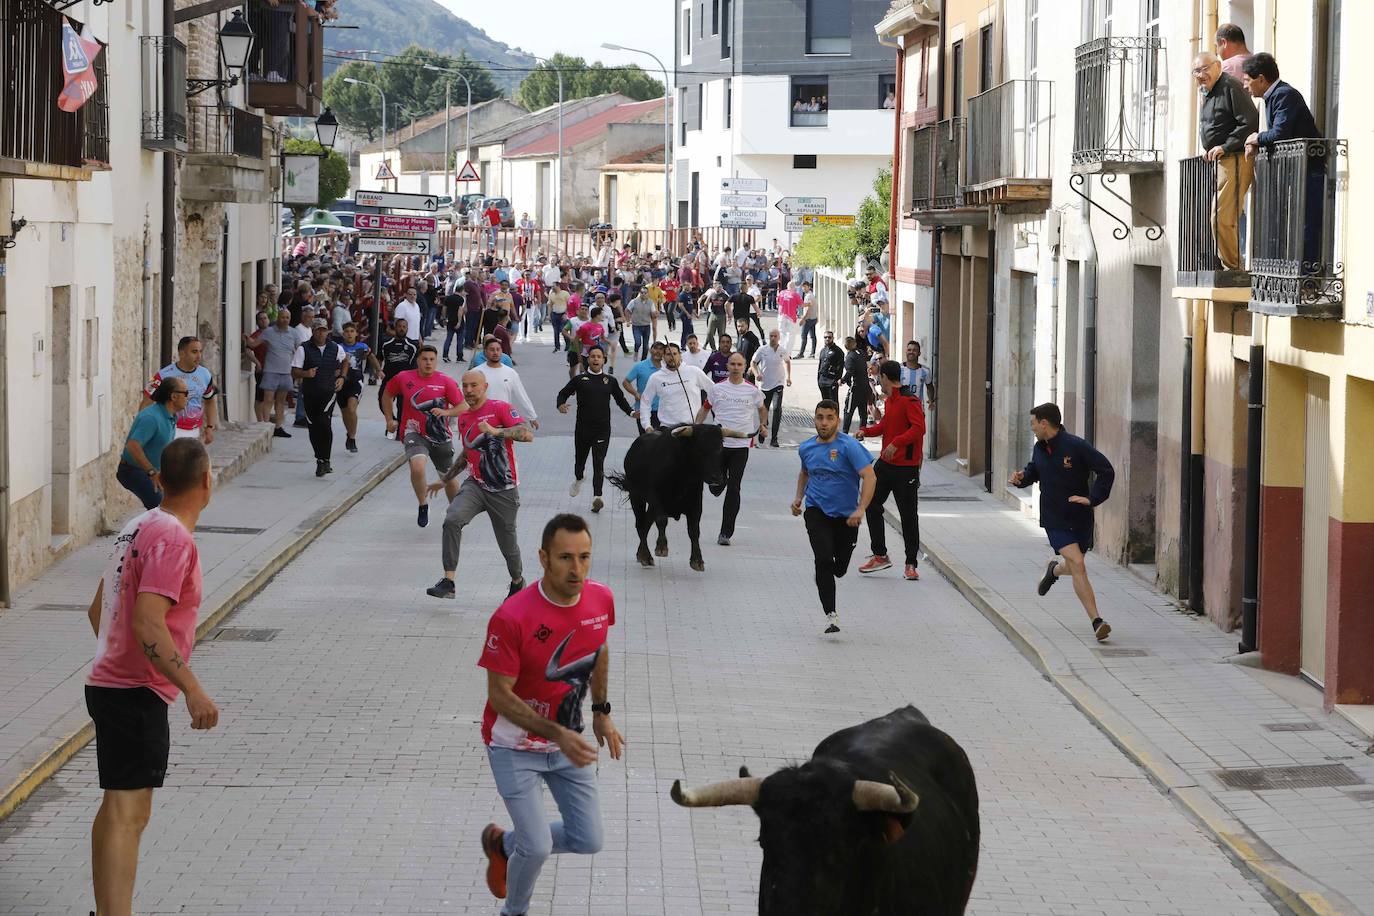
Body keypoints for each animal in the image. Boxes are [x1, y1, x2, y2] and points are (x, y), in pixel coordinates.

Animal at [607, 425, 747, 574]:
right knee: (640, 524)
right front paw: (661, 547)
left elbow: (694, 530)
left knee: (646, 524)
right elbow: (662, 520)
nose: (717, 478)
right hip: (636, 497)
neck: (682, 475)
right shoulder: (656, 499)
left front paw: (697, 560)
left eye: (720, 448)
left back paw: (642, 554)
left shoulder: (696, 504)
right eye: (699, 449)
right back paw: (645, 556)